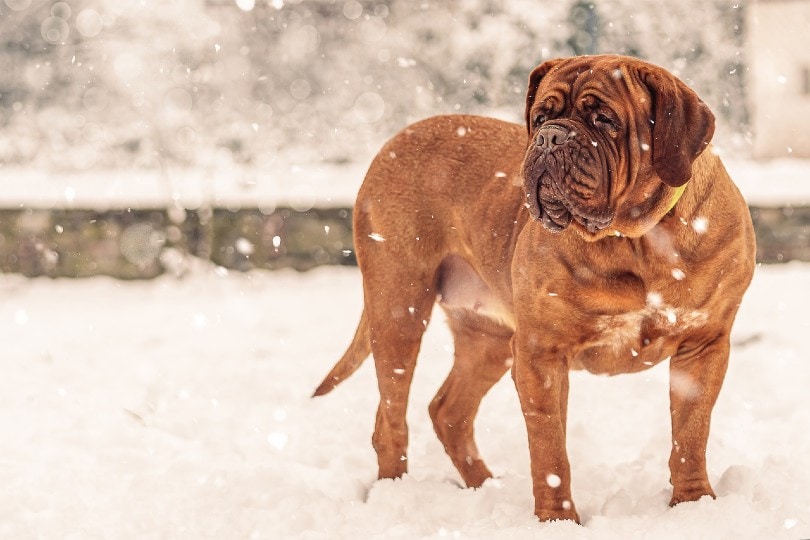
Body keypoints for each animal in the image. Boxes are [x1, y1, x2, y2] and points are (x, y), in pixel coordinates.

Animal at [312, 56, 756, 524]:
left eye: (606, 120)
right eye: (541, 117)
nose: (549, 137)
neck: (636, 240)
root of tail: (394, 141)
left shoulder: (702, 346)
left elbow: (690, 434)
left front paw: (694, 505)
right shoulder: (541, 352)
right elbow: (550, 449)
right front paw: (557, 520)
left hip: (488, 339)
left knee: (449, 411)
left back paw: (485, 486)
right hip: (400, 310)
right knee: (391, 418)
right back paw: (394, 495)